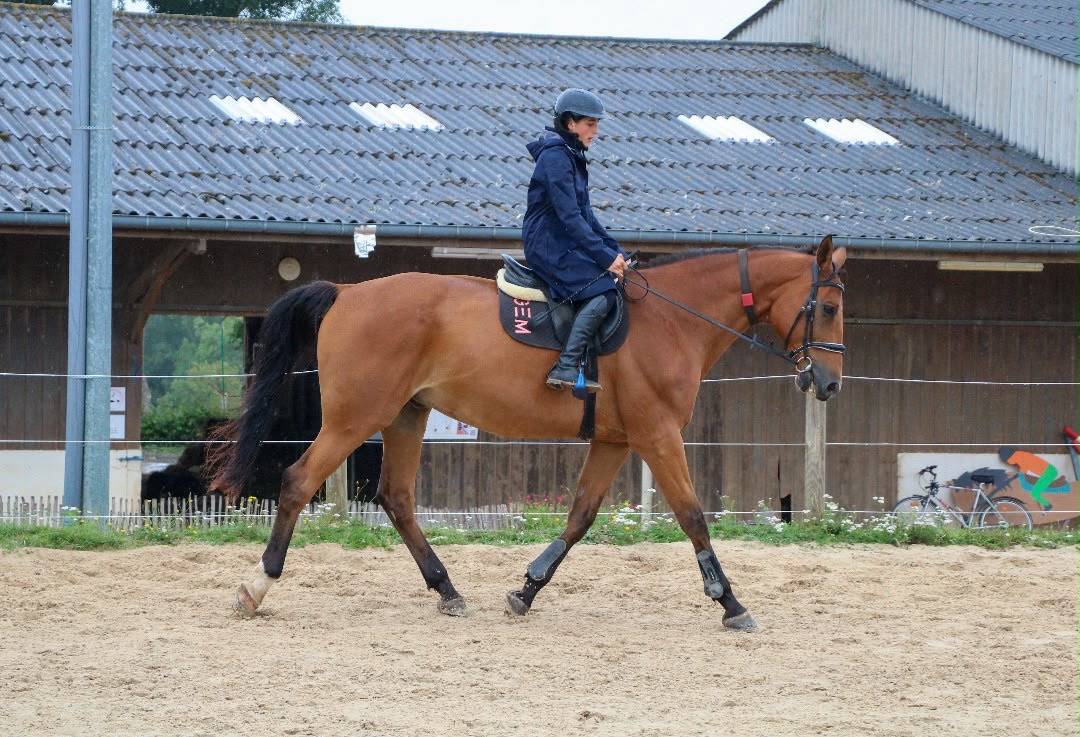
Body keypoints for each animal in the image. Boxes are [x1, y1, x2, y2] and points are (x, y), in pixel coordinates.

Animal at [210, 236, 847, 631]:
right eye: (829, 308)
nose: (828, 383)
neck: (673, 320)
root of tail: (348, 291)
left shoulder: (616, 440)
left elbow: (580, 516)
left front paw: (527, 590)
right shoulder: (657, 434)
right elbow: (692, 517)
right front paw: (731, 604)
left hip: (405, 415)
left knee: (397, 498)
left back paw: (447, 590)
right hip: (356, 418)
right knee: (298, 482)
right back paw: (256, 587)